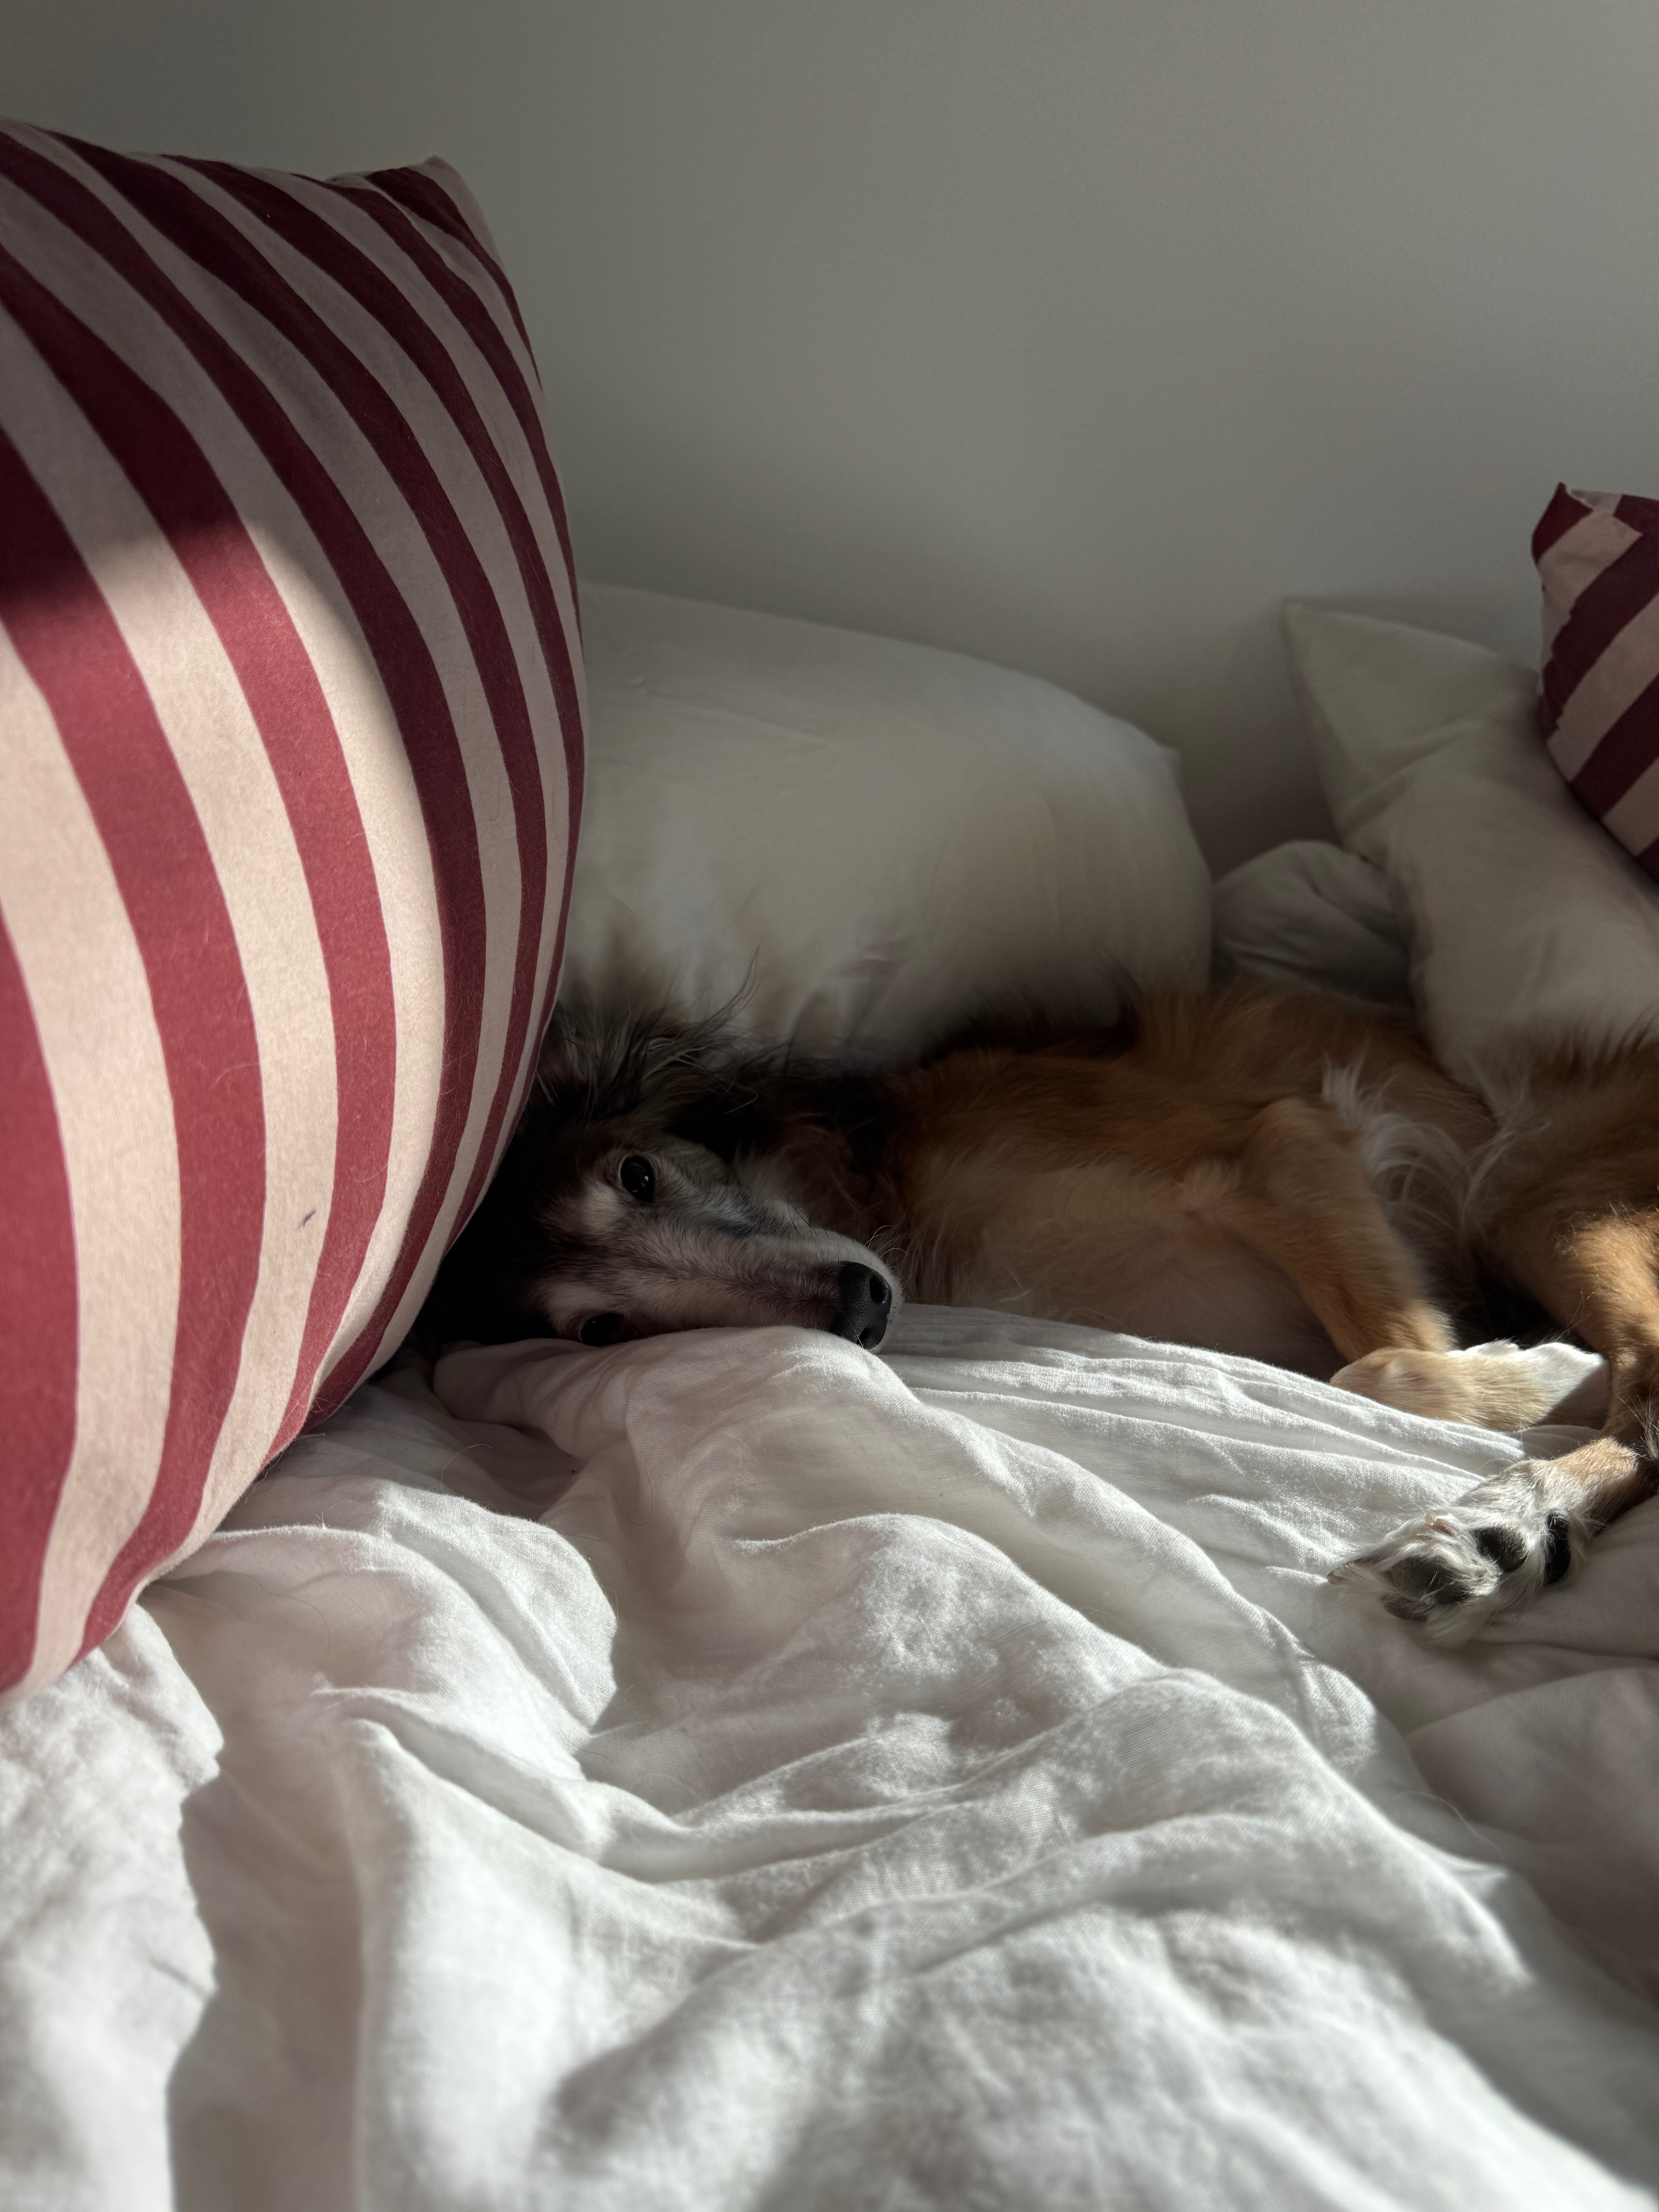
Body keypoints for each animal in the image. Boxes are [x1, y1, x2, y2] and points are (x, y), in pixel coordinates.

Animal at [422, 985, 1659, 1641]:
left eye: (637, 1175)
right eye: (602, 1332)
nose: (860, 1307)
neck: (910, 1216)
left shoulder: (1280, 1145)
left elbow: (1387, 1362)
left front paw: (1548, 1375)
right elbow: (1368, 1370)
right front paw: (1541, 1378)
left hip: (1541, 1199)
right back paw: (1504, 1536)